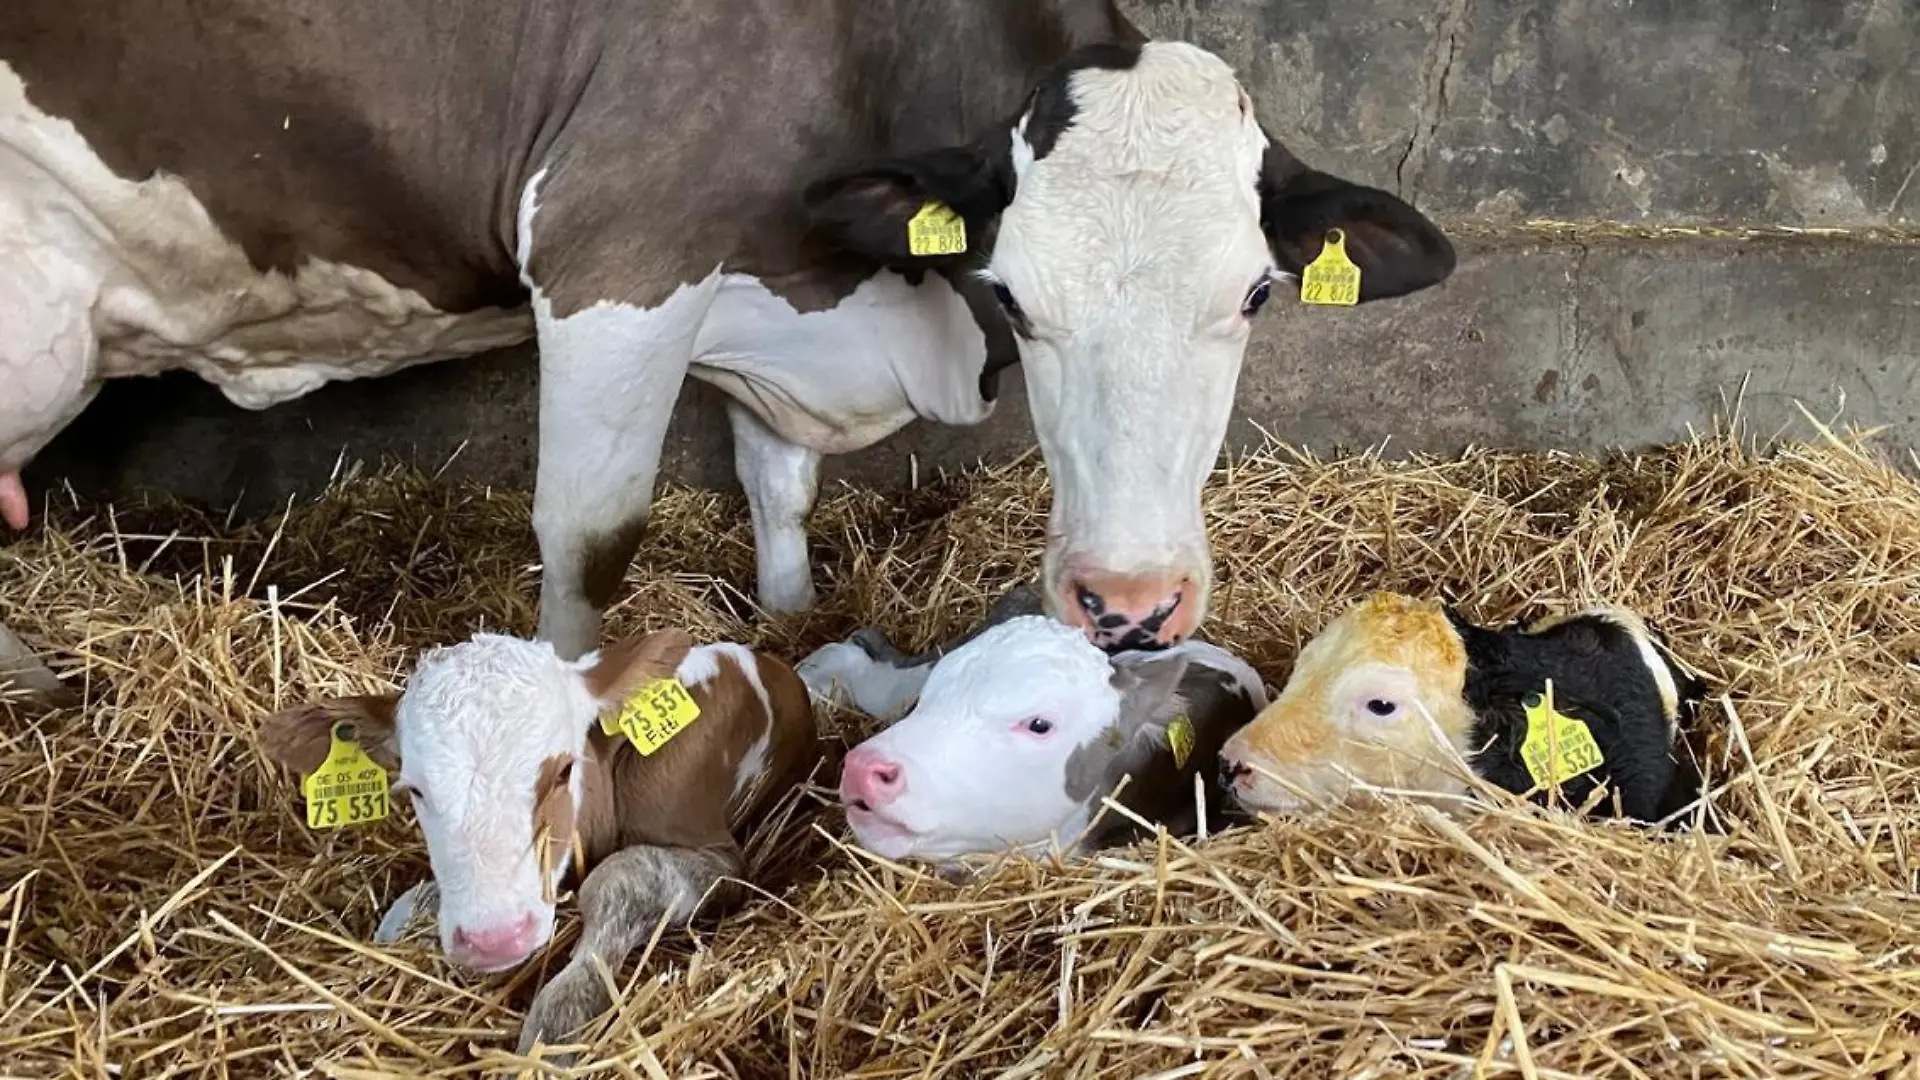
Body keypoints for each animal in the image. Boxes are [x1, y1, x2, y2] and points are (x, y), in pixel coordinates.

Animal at [0, 1, 1455, 702]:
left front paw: (795, 616)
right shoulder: (617, 252)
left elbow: (779, 490)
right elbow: (591, 533)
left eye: (1257, 293)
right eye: (1013, 295)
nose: (1130, 605)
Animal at [258, 628, 819, 1056]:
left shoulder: (722, 857)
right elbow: (402, 914)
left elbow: (622, 875)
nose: (495, 939)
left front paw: (559, 1023)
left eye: (563, 770)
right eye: (414, 788)